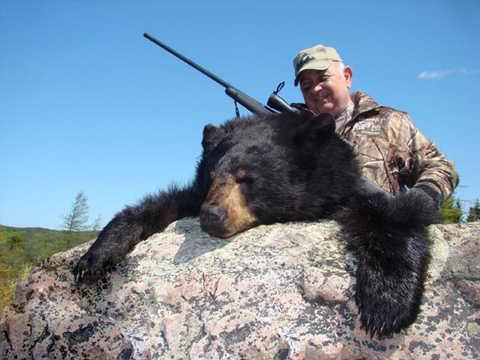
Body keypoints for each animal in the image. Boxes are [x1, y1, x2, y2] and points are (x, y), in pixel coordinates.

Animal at [73, 109, 436, 338]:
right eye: (211, 175)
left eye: (246, 178)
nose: (211, 215)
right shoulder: (193, 196)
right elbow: (158, 205)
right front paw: (94, 258)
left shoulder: (347, 191)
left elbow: (395, 217)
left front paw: (387, 303)